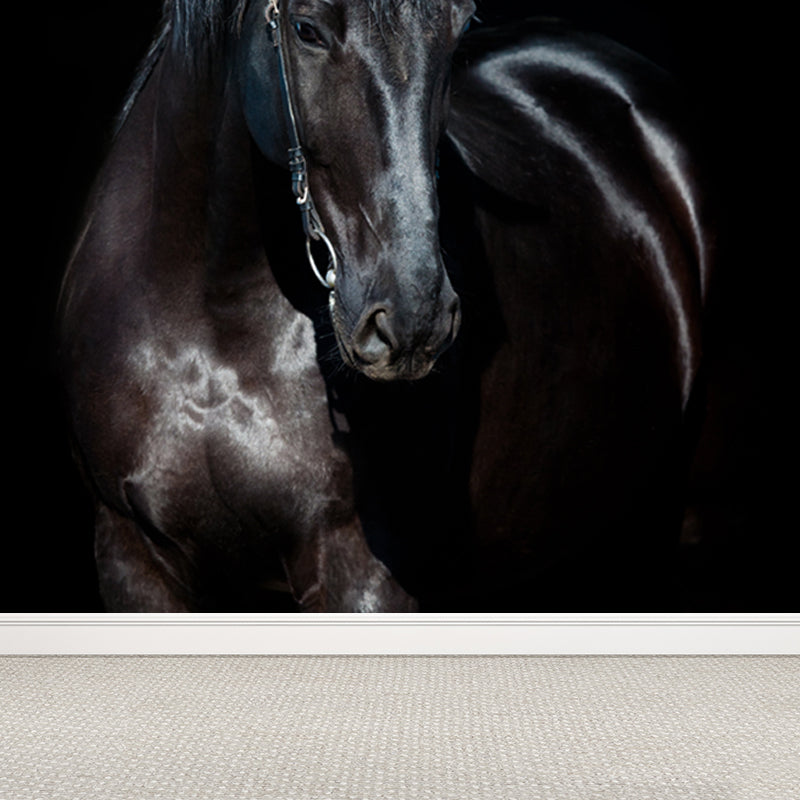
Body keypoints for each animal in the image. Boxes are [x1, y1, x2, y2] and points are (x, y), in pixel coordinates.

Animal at [57, 0, 714, 611]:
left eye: (459, 26)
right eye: (306, 29)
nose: (412, 319)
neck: (214, 324)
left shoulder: (363, 571)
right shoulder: (132, 558)